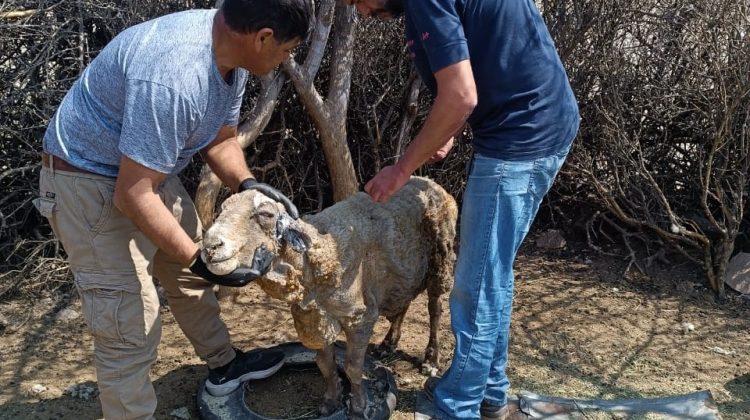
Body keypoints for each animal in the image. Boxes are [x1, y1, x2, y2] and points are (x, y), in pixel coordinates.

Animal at [201, 176, 458, 418]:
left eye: (266, 214)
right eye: (222, 209)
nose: (211, 246)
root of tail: (427, 181)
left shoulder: (359, 318)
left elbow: (353, 367)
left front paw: (359, 407)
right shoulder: (314, 318)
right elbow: (325, 364)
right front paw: (330, 402)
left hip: (440, 260)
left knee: (435, 310)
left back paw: (431, 360)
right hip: (403, 271)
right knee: (403, 303)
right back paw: (388, 344)